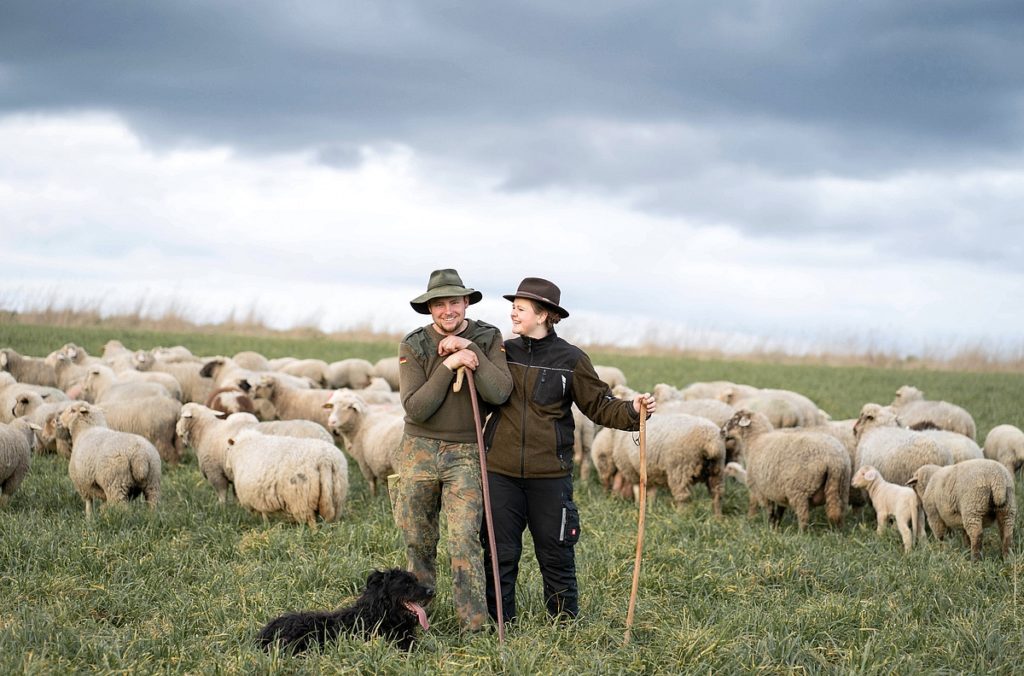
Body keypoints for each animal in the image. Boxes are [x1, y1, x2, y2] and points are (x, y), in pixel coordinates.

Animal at [716, 409, 851, 532]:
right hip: (842, 489)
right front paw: (776, 528)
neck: (755, 440)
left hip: (799, 490)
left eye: (734, 420)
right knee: (839, 514)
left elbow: (770, 512)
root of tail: (834, 460)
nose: (721, 431)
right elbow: (779, 513)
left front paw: (770, 529)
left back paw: (801, 535)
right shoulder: (778, 492)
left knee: (804, 517)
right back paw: (838, 533)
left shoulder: (763, 491)